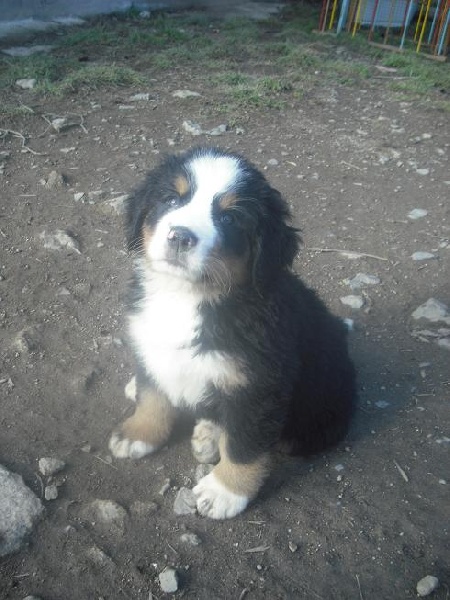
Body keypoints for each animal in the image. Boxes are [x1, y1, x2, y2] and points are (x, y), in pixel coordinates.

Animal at [109, 147, 356, 519]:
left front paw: (224, 491)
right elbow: (153, 396)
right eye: (171, 199)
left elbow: (245, 444)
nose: (179, 236)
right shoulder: (151, 342)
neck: (186, 296)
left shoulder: (259, 384)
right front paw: (139, 432)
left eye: (229, 219)